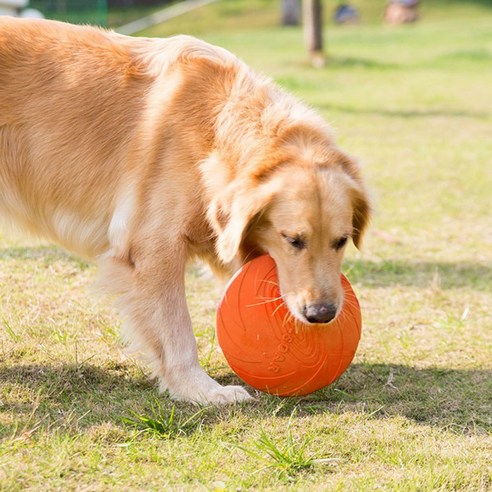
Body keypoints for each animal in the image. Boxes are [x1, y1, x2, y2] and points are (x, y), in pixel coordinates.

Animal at [0, 18, 368, 404]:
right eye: (293, 240)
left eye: (341, 241)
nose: (322, 314)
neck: (213, 129)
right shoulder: (151, 250)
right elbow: (177, 331)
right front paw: (201, 390)